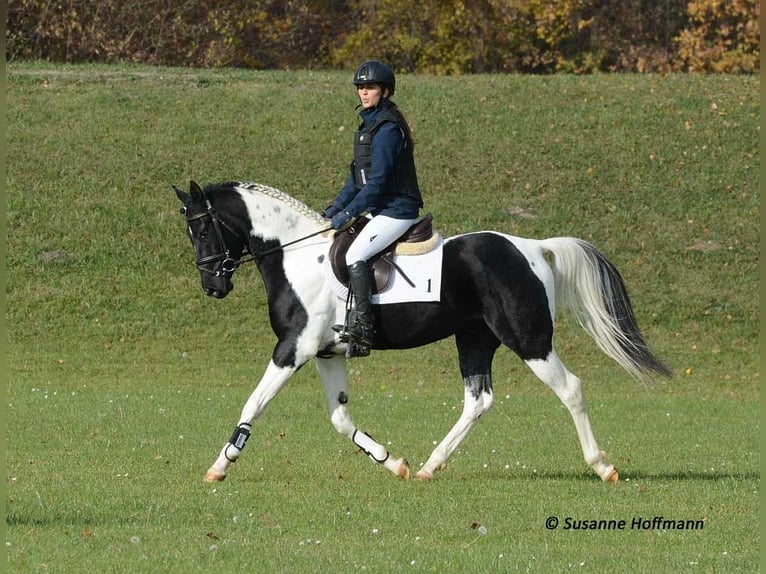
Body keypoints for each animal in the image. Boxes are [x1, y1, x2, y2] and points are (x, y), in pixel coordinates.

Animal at [174, 180, 672, 486]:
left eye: (203, 228)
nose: (212, 285)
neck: (298, 257)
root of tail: (532, 247)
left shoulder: (293, 348)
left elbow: (253, 403)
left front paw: (220, 466)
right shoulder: (328, 354)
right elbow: (340, 419)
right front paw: (392, 462)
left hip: (528, 340)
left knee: (570, 389)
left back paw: (602, 466)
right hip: (474, 338)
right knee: (478, 400)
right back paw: (432, 465)